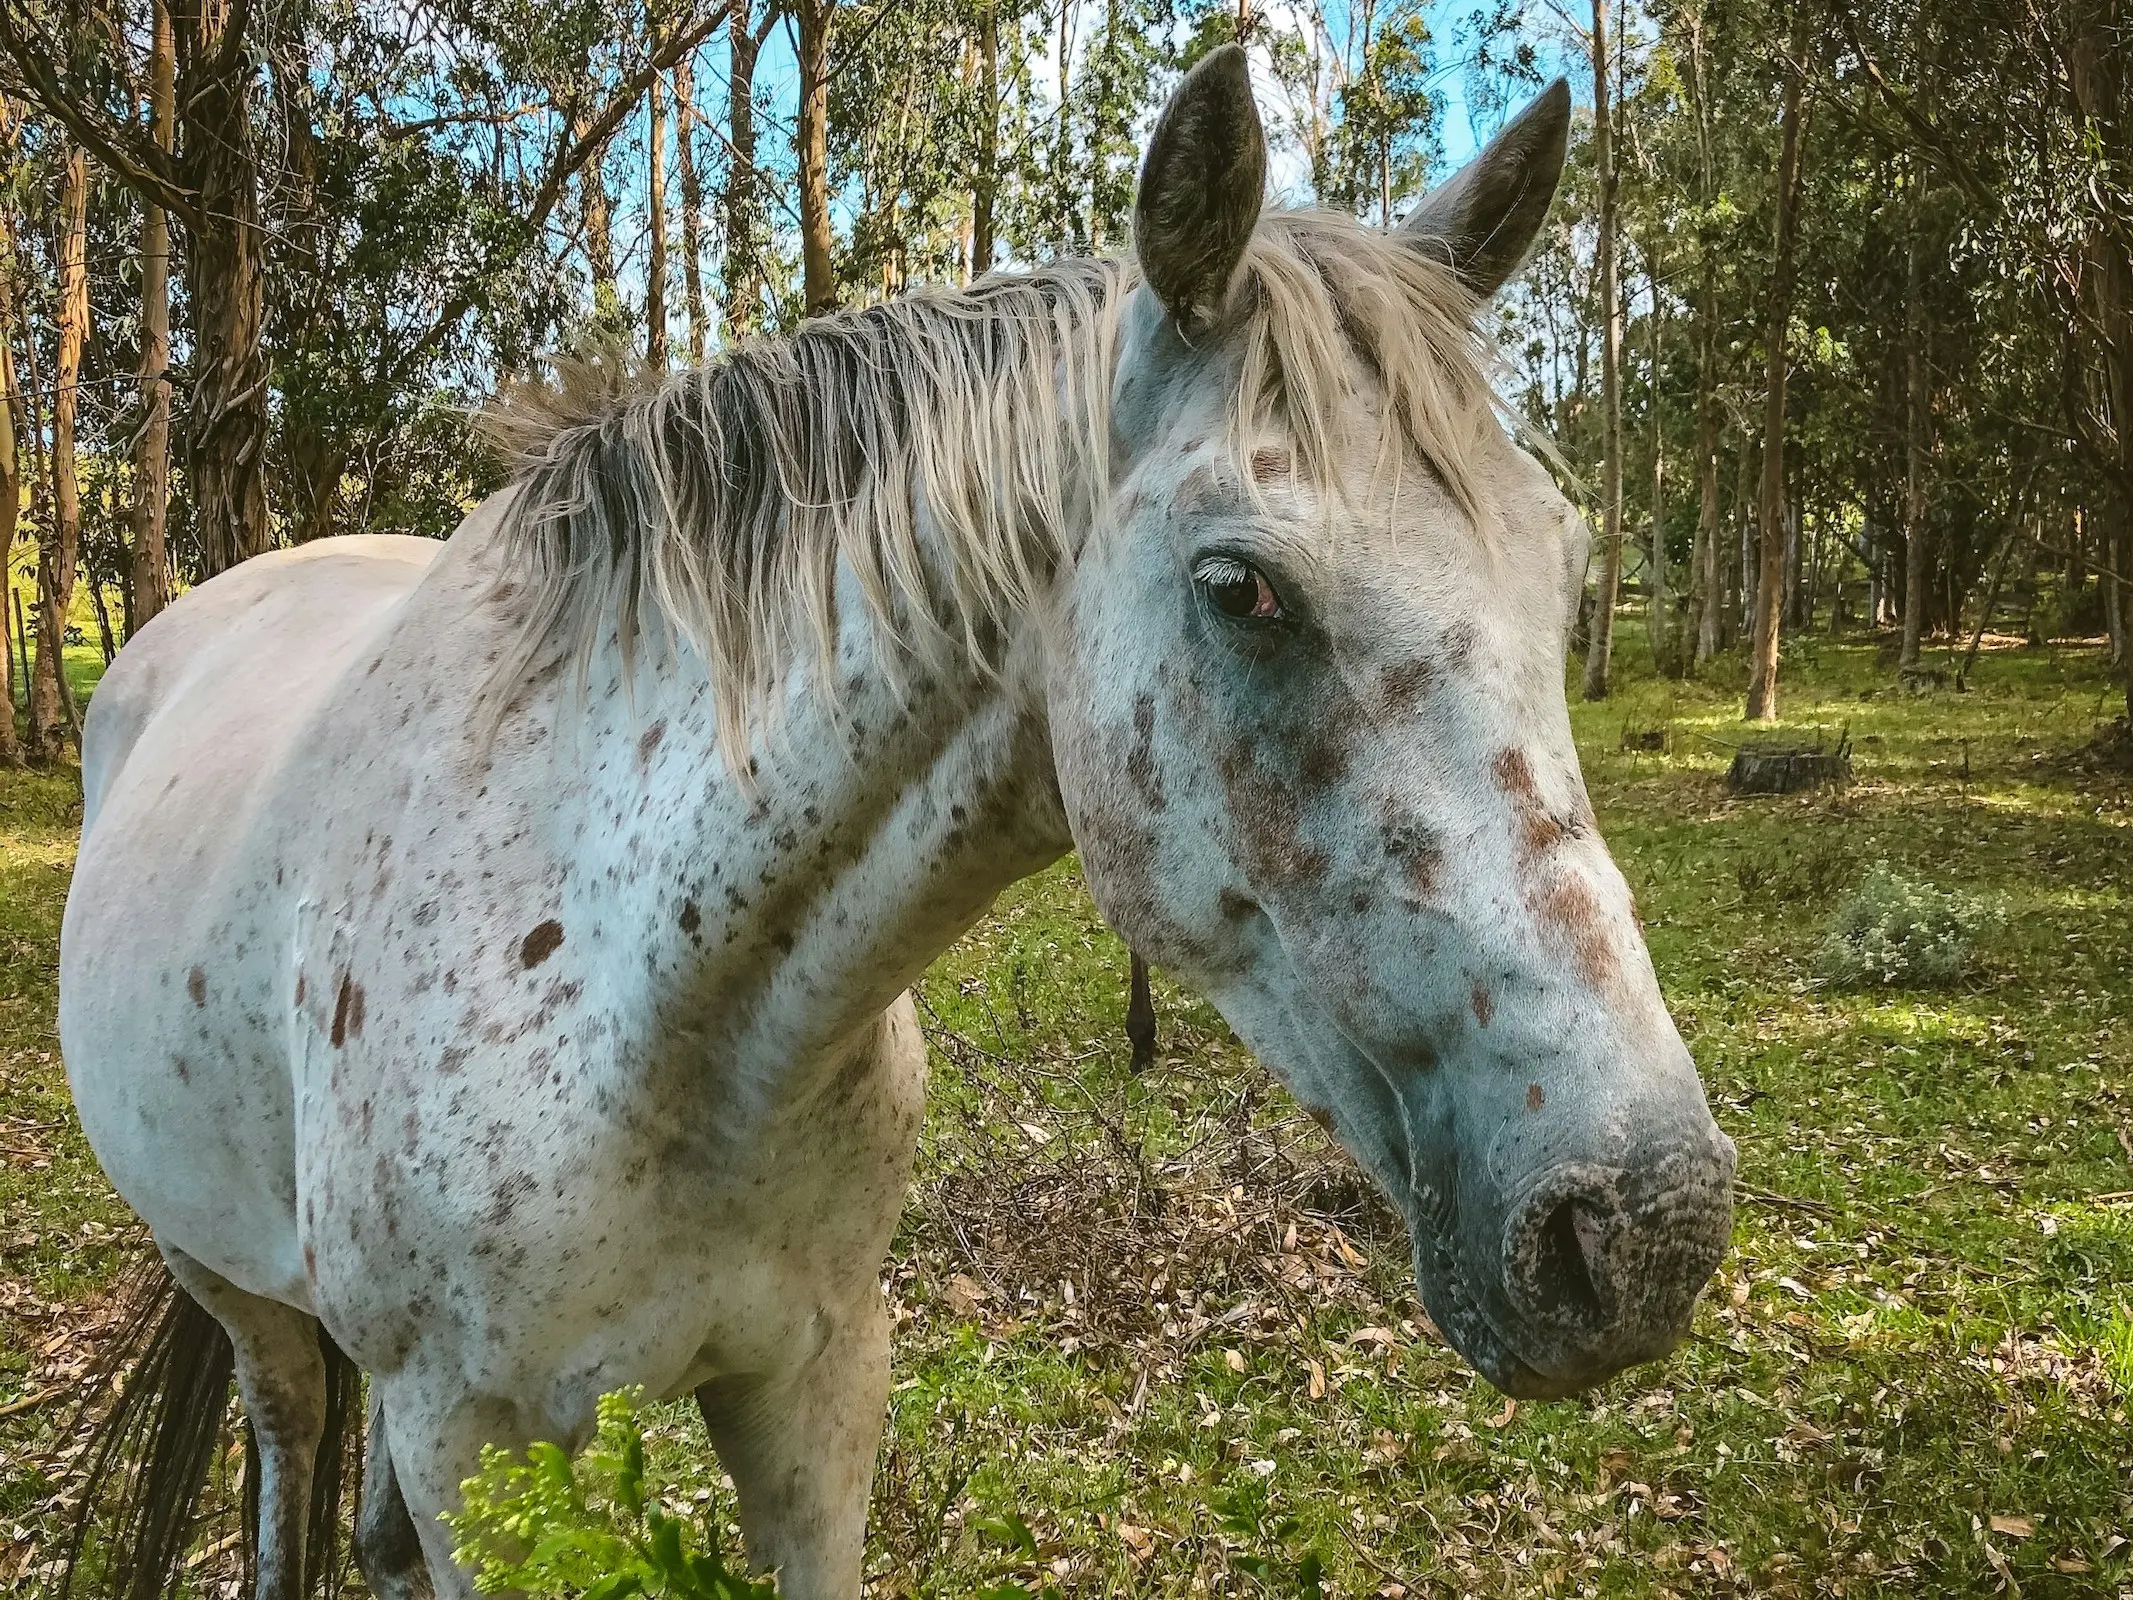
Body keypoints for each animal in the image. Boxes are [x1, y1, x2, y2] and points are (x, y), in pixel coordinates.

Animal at [62, 50, 1731, 1600]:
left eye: (1566, 560)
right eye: (1239, 587)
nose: (1647, 1224)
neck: (640, 1003)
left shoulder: (819, 1385)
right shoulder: (470, 1446)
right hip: (232, 1290)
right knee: (286, 1437)